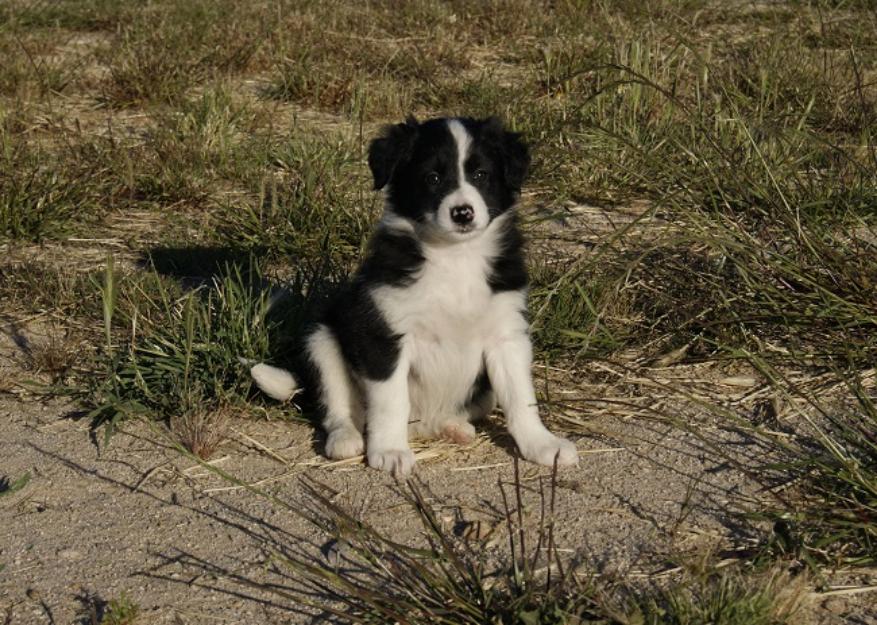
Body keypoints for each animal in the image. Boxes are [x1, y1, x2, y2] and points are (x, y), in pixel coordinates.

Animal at [248, 114, 576, 476]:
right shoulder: (385, 334)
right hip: (321, 339)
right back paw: (346, 438)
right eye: (432, 178)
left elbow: (521, 397)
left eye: (481, 175)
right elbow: (391, 400)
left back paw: (452, 426)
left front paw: (542, 444)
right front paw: (390, 450)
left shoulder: (507, 335)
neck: (455, 257)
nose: (463, 212)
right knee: (339, 406)